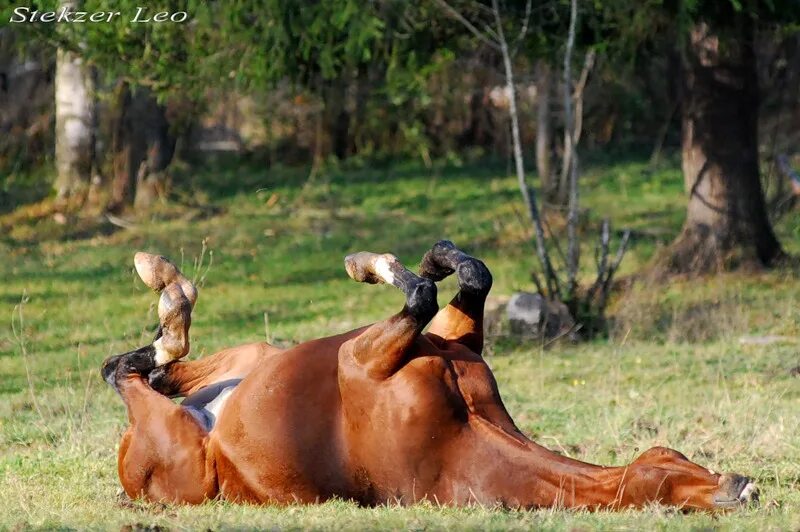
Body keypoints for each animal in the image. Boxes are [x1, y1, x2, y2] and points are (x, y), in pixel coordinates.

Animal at [100, 242, 756, 512]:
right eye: (675, 462)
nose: (741, 484)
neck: (459, 438)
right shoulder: (434, 341)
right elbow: (462, 277)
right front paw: (400, 260)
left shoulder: (368, 354)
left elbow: (426, 292)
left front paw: (379, 264)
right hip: (241, 363)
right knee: (144, 367)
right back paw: (165, 282)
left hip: (191, 421)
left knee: (135, 369)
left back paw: (168, 293)